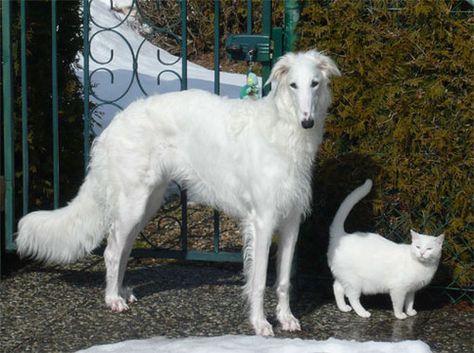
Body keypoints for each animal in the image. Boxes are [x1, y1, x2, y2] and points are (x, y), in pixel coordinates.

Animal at [15, 48, 340, 332]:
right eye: (293, 85)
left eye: (314, 83)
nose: (307, 121)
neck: (283, 131)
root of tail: (115, 123)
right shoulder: (262, 220)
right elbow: (259, 280)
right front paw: (260, 324)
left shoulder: (291, 221)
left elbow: (284, 280)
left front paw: (287, 319)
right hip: (133, 203)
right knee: (111, 251)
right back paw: (112, 299)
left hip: (147, 203)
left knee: (124, 249)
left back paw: (122, 291)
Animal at [328, 179, 442, 320]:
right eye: (418, 247)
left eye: (429, 248)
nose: (421, 253)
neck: (423, 267)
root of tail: (342, 235)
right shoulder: (398, 289)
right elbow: (399, 304)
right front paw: (400, 315)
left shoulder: (411, 290)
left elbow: (410, 302)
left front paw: (410, 312)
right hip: (354, 282)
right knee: (352, 297)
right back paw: (363, 313)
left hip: (344, 278)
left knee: (337, 288)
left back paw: (343, 308)